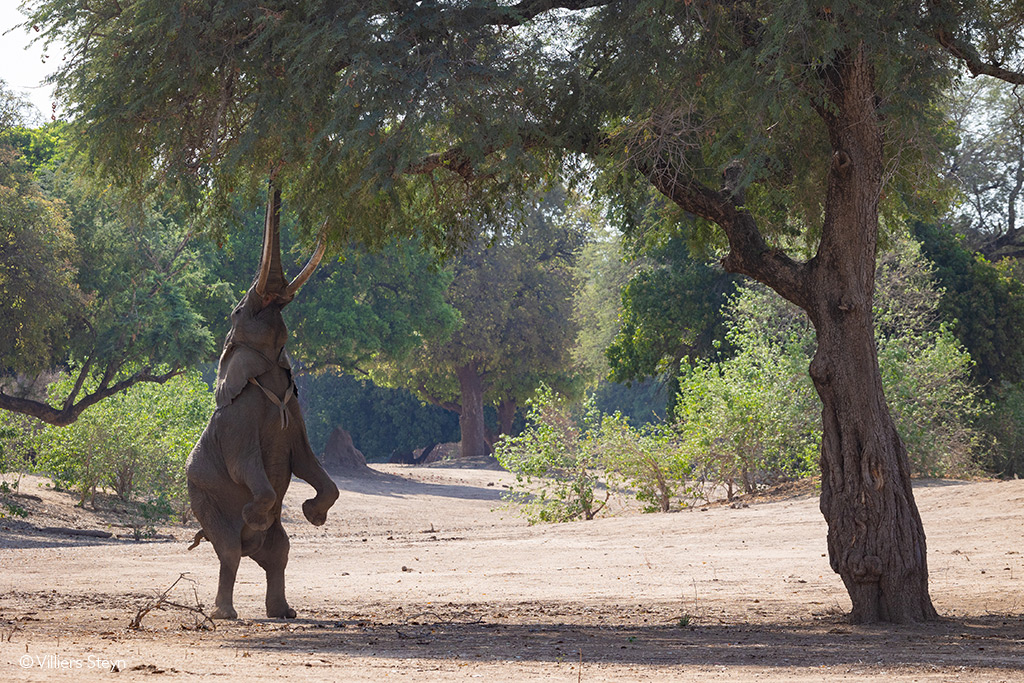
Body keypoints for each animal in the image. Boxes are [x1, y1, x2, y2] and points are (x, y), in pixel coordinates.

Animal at [187, 187, 339, 618]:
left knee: (279, 553)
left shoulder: (295, 408)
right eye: (238, 311)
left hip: (268, 540)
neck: (266, 367)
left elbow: (309, 462)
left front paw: (313, 514)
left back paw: (283, 612)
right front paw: (254, 514)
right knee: (229, 551)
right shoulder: (237, 421)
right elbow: (246, 466)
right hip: (205, 501)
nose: (275, 179)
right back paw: (224, 611)